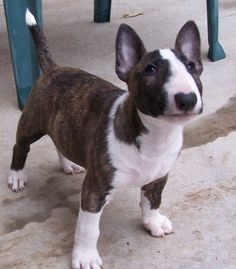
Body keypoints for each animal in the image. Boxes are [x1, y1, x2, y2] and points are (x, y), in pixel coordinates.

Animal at [7, 9, 203, 268]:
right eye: (150, 70)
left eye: (191, 66)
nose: (187, 99)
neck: (155, 135)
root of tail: (54, 68)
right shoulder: (95, 190)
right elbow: (89, 229)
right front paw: (86, 256)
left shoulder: (159, 177)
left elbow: (152, 201)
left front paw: (153, 222)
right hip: (32, 123)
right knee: (20, 146)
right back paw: (17, 175)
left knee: (58, 142)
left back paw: (68, 164)